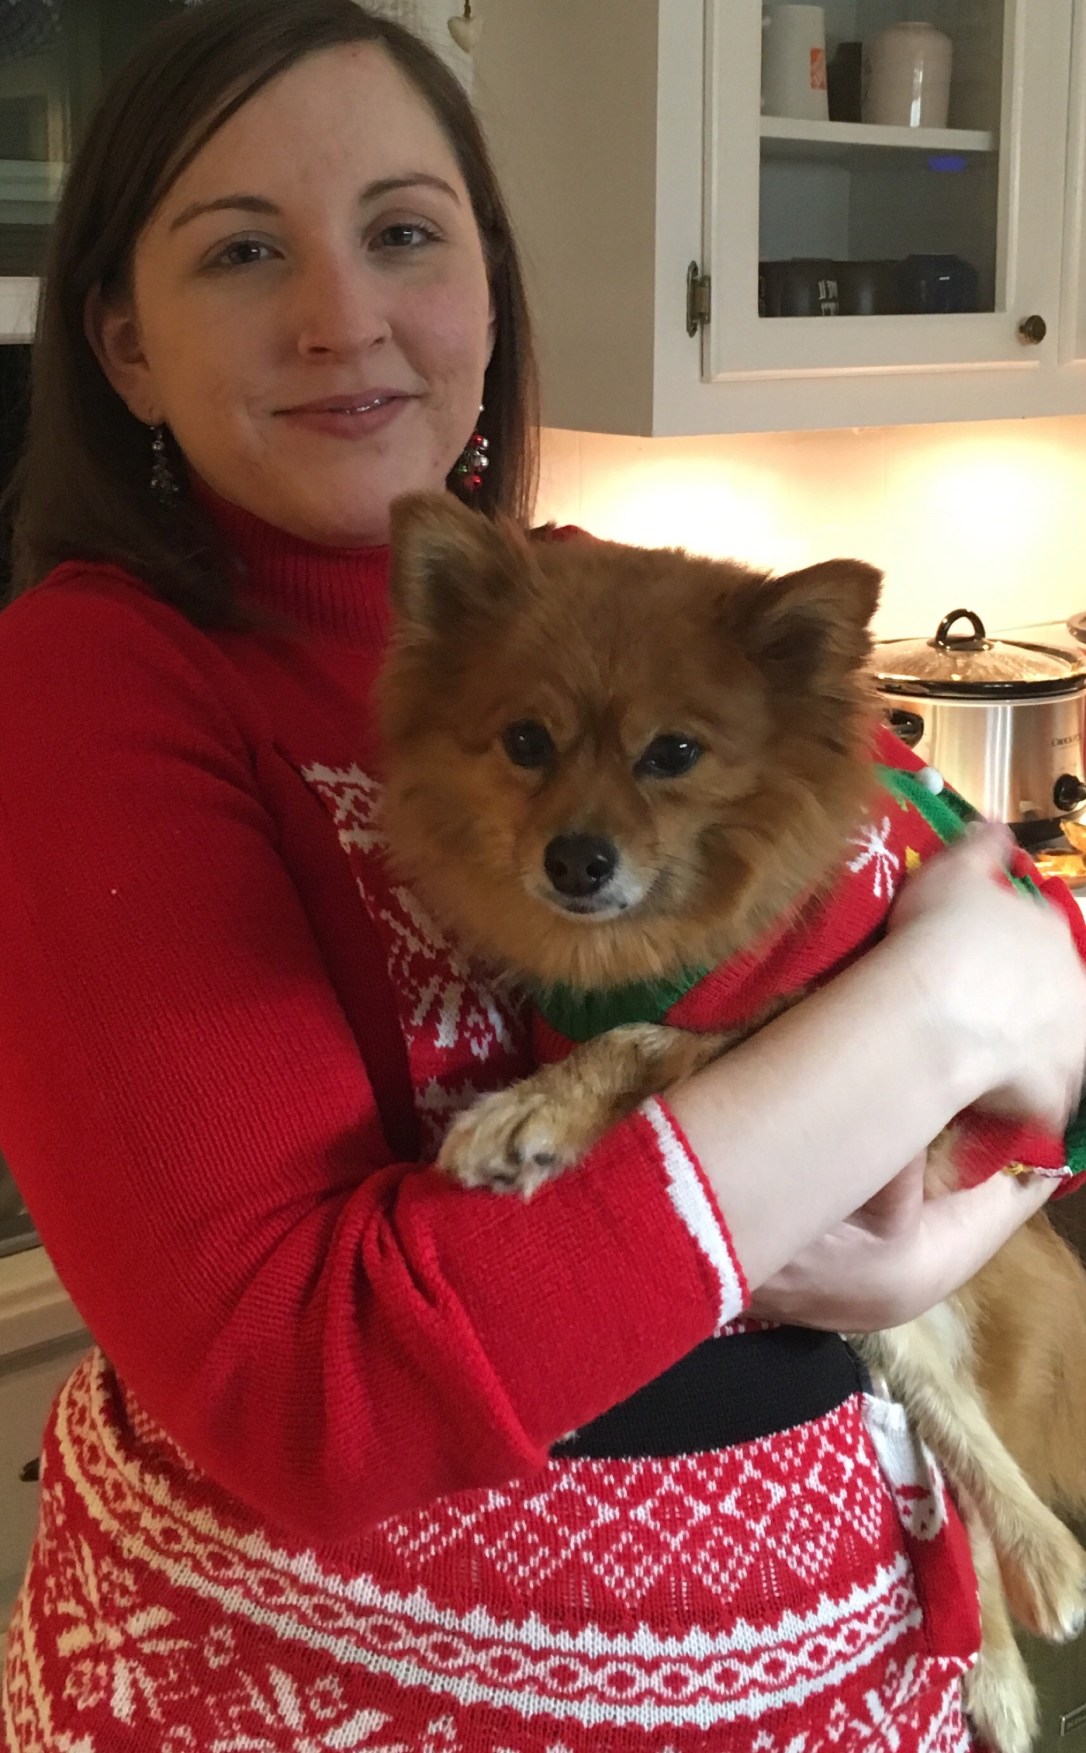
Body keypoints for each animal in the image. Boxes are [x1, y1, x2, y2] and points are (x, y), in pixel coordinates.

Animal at [376, 489, 1086, 1753]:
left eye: (674, 755)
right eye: (525, 742)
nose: (577, 859)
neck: (668, 939)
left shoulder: (820, 1029)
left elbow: (646, 1039)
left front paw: (528, 1117)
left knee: (963, 1436)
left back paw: (1040, 1574)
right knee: (937, 1433)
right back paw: (1004, 1655)